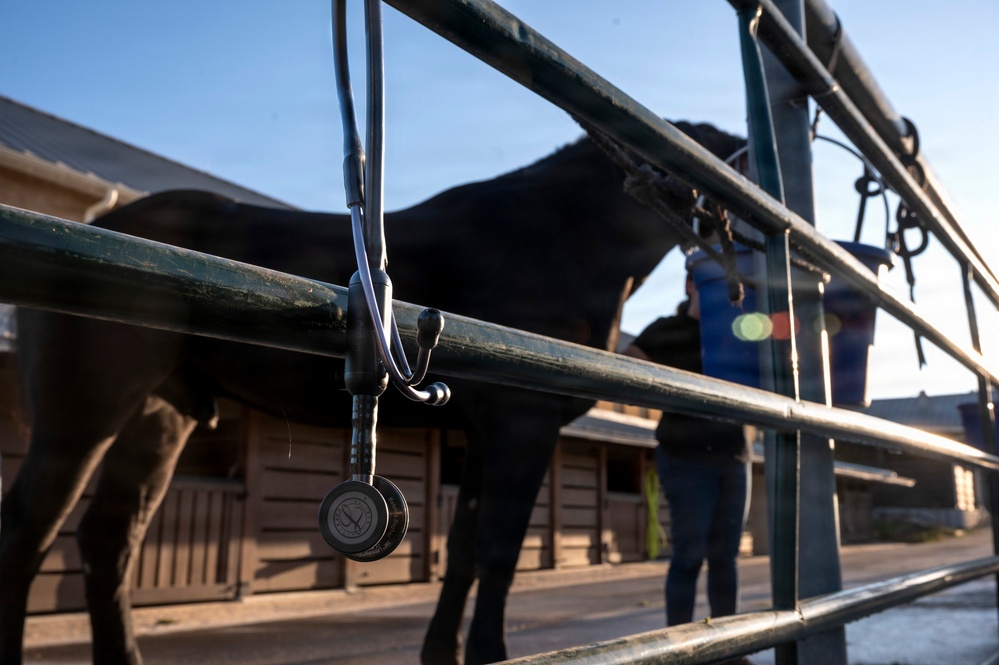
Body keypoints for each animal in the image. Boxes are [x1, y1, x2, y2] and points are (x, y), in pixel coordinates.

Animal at [0, 120, 745, 665]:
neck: (558, 237)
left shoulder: (482, 436)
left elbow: (464, 549)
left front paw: (442, 652)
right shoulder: (521, 425)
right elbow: (500, 548)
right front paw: (489, 651)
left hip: (158, 418)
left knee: (108, 540)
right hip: (82, 417)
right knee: (29, 531)